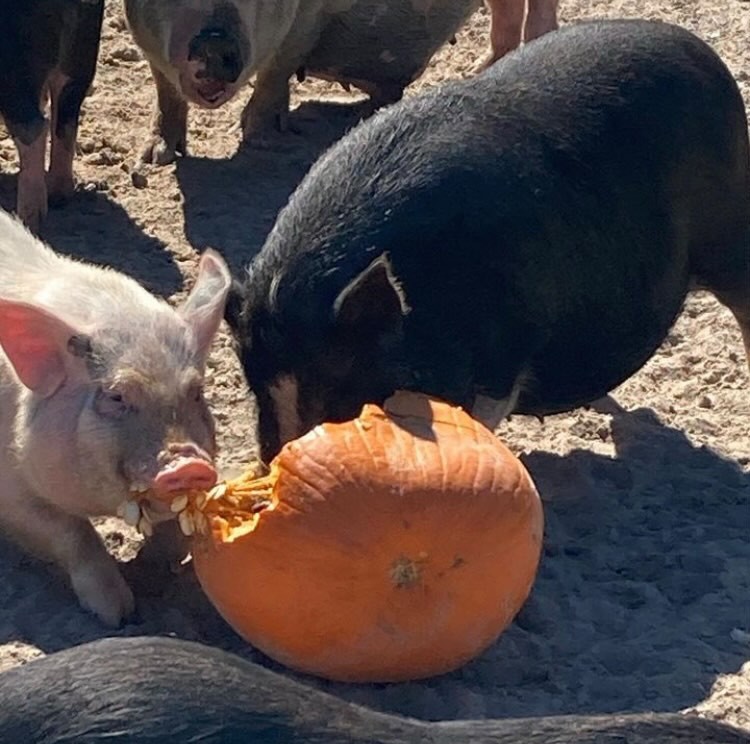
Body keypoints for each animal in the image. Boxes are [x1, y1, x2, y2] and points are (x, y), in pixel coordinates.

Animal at [0, 0, 106, 232]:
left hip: (13, 66)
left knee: (35, 128)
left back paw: (28, 221)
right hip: (82, 52)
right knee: (65, 114)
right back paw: (58, 195)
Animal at [123, 0, 560, 164]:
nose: (214, 43)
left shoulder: (303, 22)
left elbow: (274, 76)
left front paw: (266, 142)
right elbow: (165, 91)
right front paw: (154, 159)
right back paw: (477, 69)